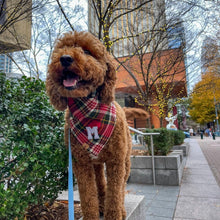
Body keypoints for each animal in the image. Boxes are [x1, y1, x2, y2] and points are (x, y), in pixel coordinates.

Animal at [46, 31, 149, 220]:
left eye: (87, 51)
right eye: (63, 48)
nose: (65, 58)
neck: (88, 109)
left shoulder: (116, 161)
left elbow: (115, 194)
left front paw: (115, 213)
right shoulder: (81, 163)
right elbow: (88, 198)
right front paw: (94, 212)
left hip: (125, 160)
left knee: (121, 187)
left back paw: (121, 209)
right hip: (98, 163)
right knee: (101, 182)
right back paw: (101, 205)